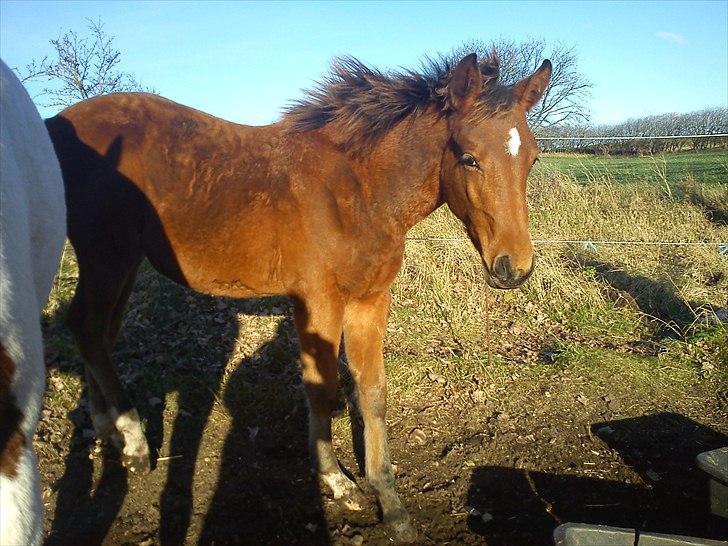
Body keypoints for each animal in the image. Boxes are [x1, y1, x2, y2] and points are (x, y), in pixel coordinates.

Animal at [47, 52, 552, 540]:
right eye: (468, 158)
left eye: (532, 158)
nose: (514, 267)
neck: (358, 192)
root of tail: (53, 123)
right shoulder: (318, 301)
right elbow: (322, 387)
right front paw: (335, 481)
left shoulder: (371, 299)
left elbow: (372, 390)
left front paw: (390, 502)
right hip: (107, 256)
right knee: (88, 327)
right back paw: (133, 442)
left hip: (124, 261)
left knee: (96, 332)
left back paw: (108, 430)